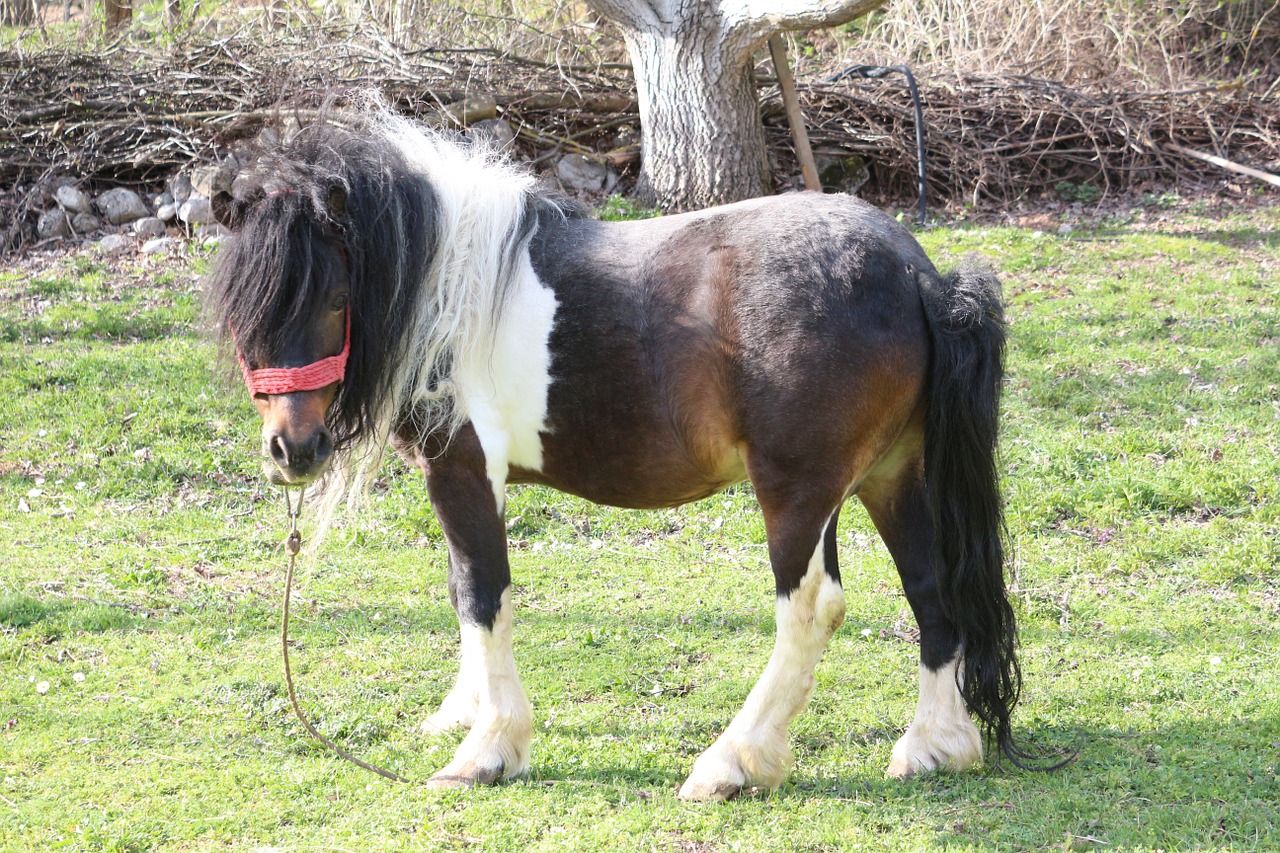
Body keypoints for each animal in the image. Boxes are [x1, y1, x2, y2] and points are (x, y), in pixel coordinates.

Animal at [209, 104, 1029, 799]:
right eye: (244, 309)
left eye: (334, 300)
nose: (292, 449)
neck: (455, 286)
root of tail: (920, 275)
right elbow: (461, 590)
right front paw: (461, 714)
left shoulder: (464, 471)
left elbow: (483, 594)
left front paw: (489, 748)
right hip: (892, 478)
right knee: (932, 590)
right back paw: (934, 745)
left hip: (799, 493)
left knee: (811, 609)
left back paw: (733, 762)